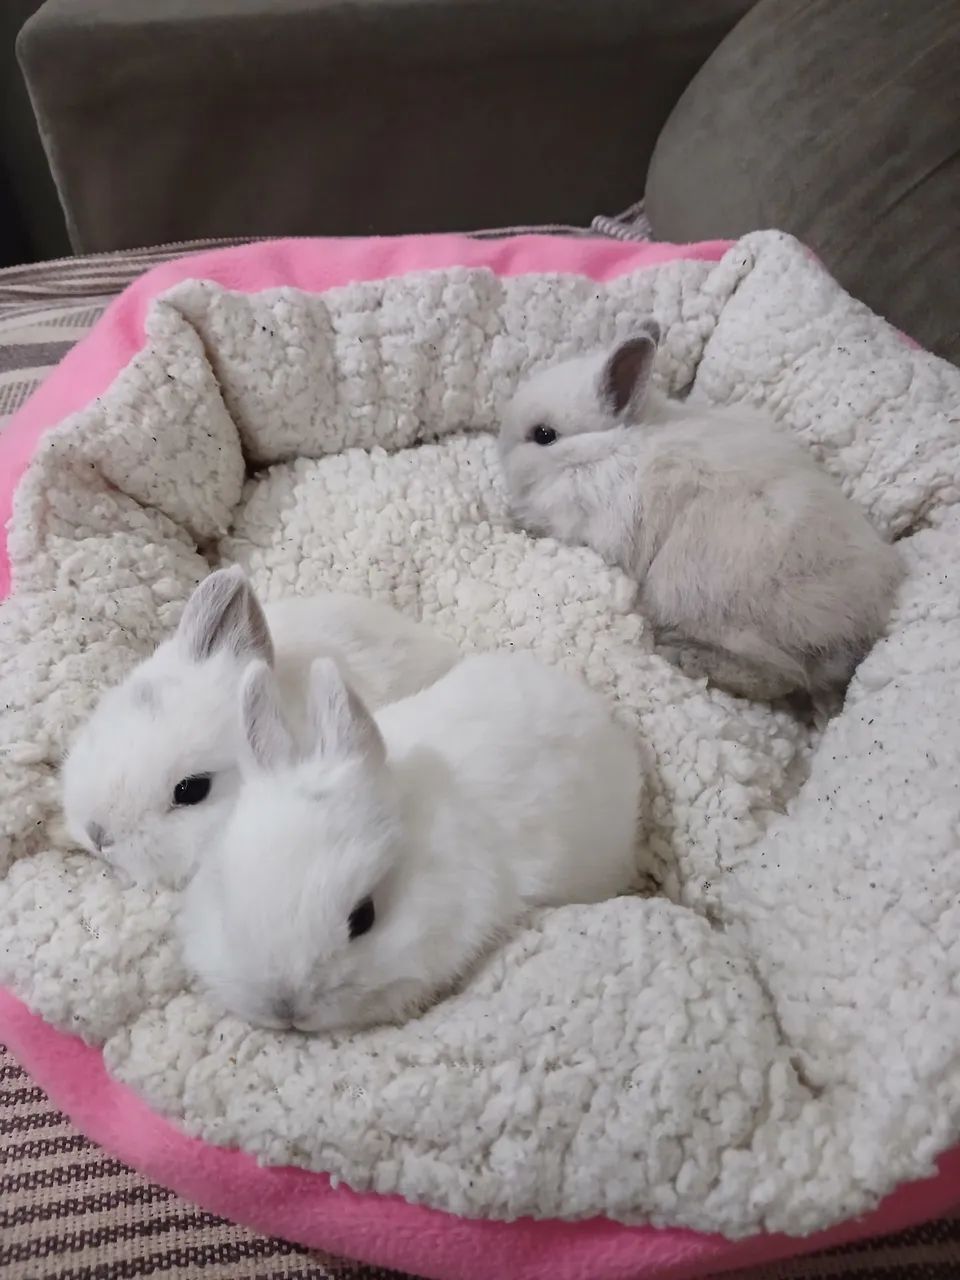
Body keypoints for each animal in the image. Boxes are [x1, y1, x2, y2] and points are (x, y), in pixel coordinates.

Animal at [498, 321, 903, 702]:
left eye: (544, 434)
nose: (501, 448)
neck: (599, 450)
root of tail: (856, 630)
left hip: (699, 598)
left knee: (780, 675)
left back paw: (682, 656)